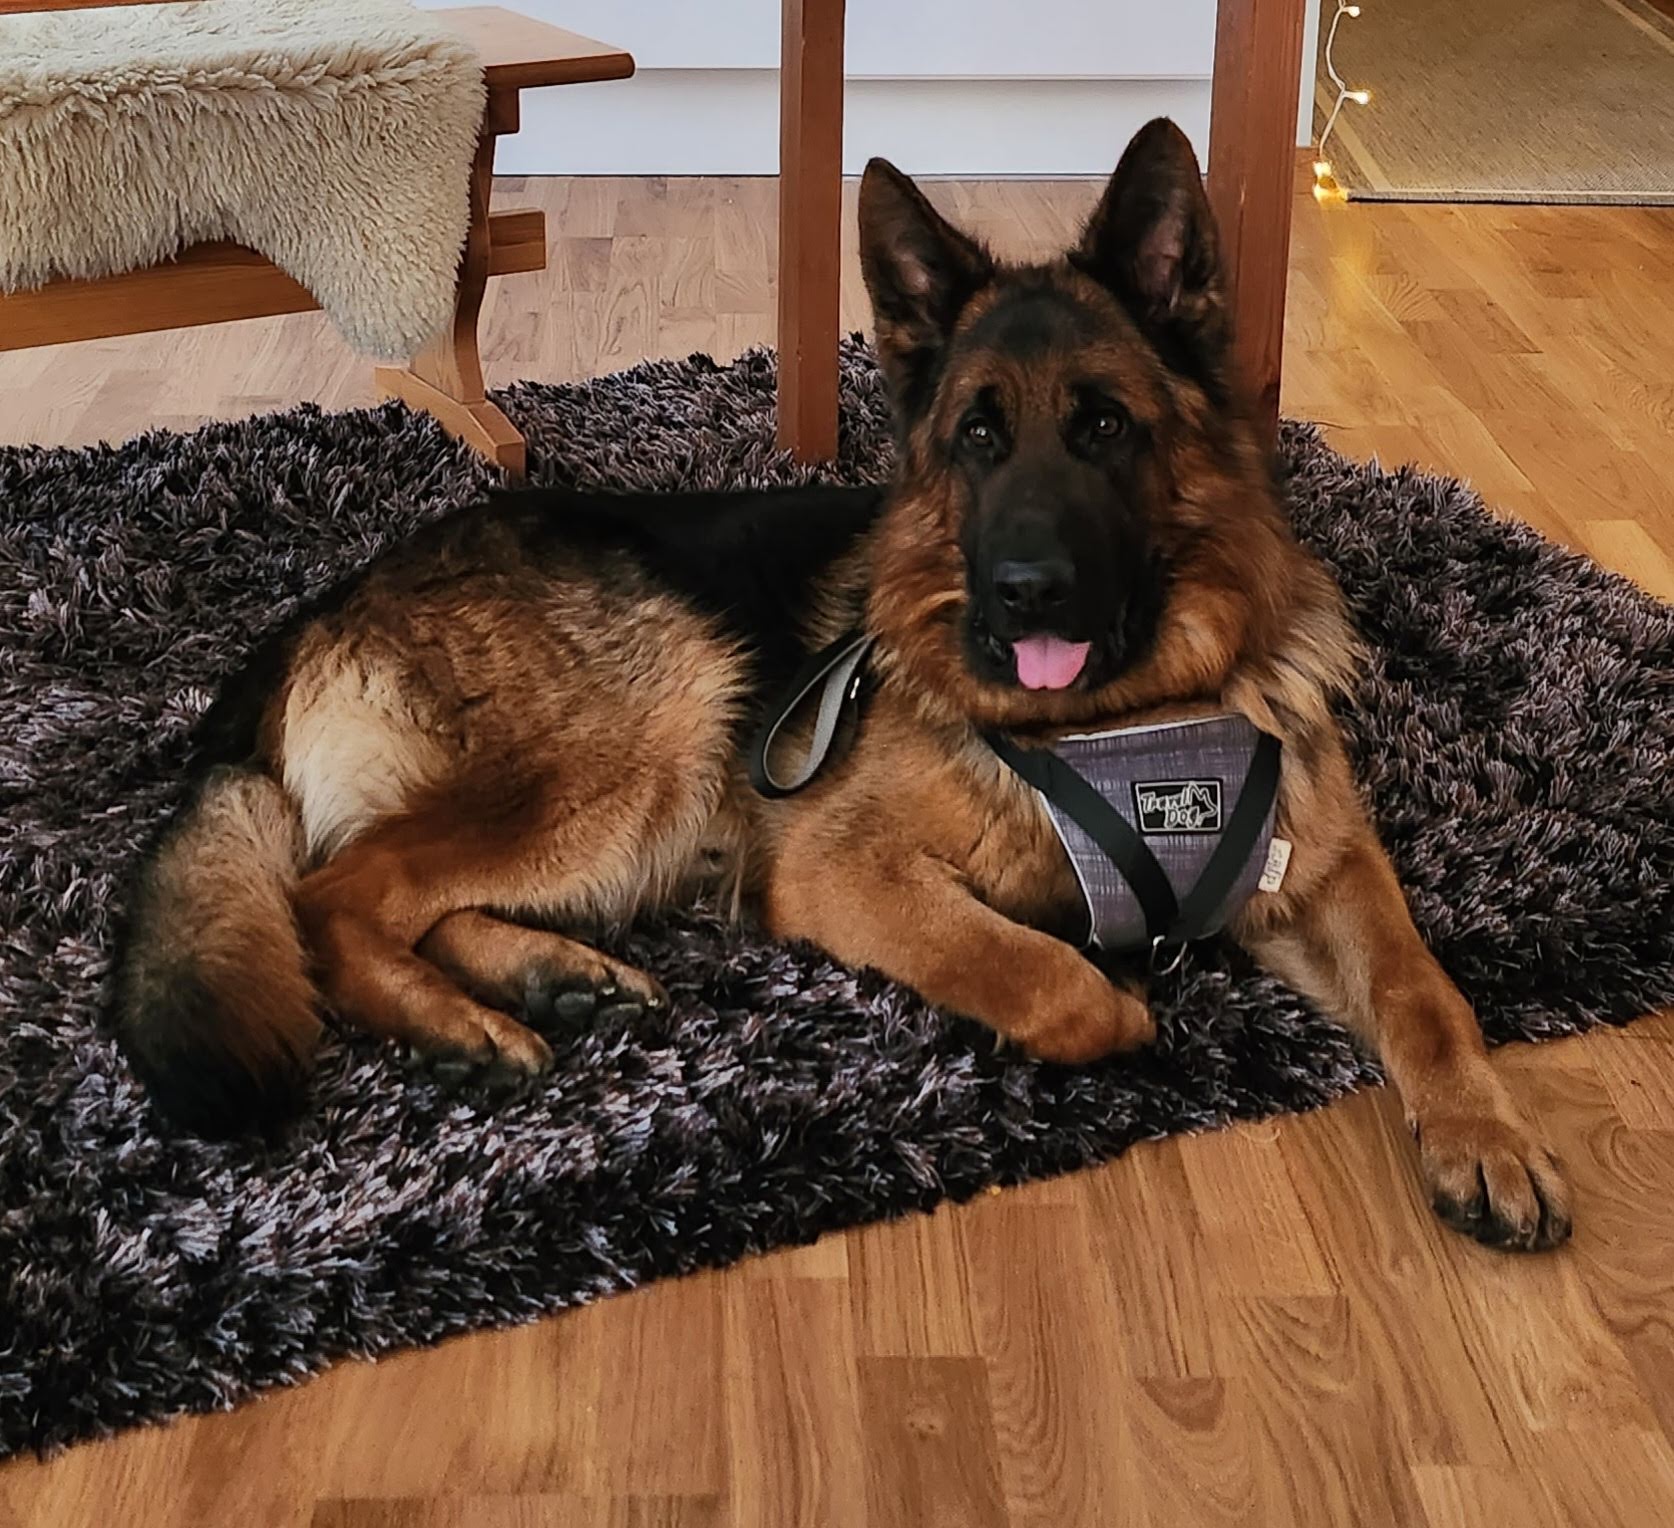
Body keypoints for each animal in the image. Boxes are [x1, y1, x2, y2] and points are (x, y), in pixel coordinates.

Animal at [116, 119, 1570, 1251]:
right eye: (977, 437)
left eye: (1103, 425)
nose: (1023, 592)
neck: (1130, 711)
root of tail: (322, 605)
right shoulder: (838, 868)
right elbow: (1040, 972)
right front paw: (1111, 1003)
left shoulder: (1325, 872)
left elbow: (1426, 993)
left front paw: (1486, 1133)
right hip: (654, 725)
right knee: (333, 893)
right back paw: (463, 1024)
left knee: (408, 893)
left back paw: (546, 979)